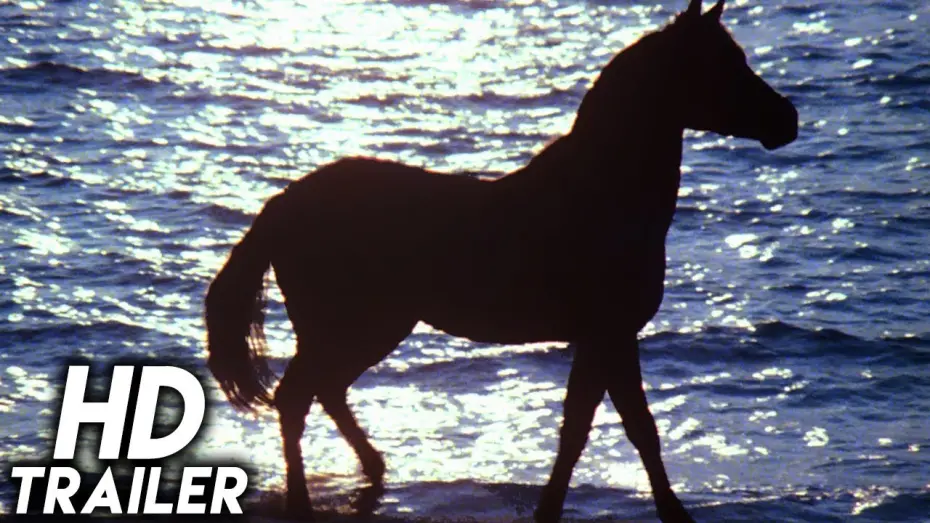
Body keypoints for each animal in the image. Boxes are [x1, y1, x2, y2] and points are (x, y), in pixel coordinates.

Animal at [204, 1, 797, 521]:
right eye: (721, 65)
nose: (787, 119)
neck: (599, 195)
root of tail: (282, 204)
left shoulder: (603, 339)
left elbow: (589, 426)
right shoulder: (611, 334)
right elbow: (628, 428)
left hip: (370, 328)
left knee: (323, 391)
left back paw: (375, 468)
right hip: (352, 326)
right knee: (296, 398)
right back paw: (310, 499)